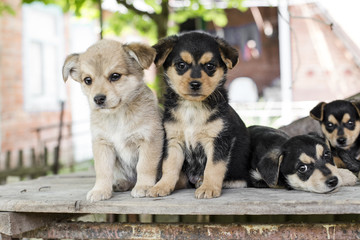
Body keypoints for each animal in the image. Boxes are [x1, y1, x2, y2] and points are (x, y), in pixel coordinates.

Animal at [62, 39, 163, 201]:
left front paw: (144, 186)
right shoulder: (102, 143)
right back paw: (121, 183)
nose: (98, 99)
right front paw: (100, 190)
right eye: (88, 80)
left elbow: (145, 166)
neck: (117, 116)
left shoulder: (149, 139)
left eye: (115, 76)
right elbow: (103, 171)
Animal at [146, 30, 250, 199]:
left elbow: (213, 168)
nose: (195, 84)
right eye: (181, 65)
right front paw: (162, 186)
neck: (192, 108)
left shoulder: (218, 141)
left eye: (210, 66)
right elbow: (169, 166)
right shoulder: (173, 141)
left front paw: (208, 187)